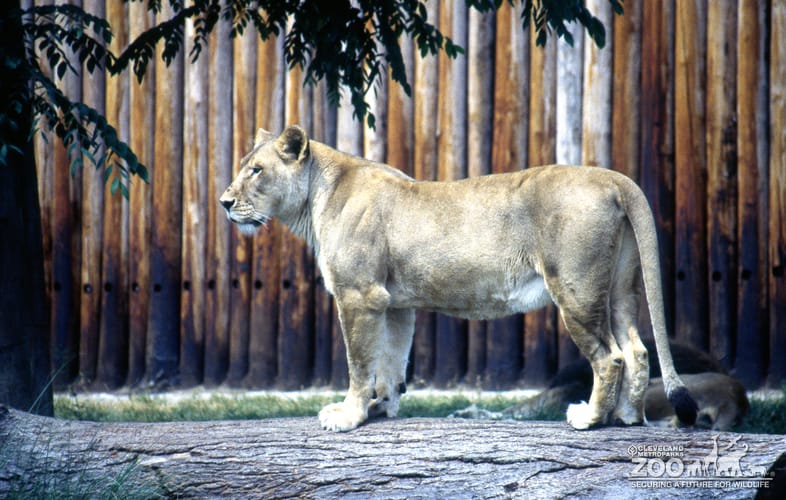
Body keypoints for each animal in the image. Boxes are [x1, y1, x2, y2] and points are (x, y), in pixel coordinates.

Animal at [220, 125, 698, 432]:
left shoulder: (359, 295)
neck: (316, 197)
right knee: (636, 350)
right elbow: (391, 361)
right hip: (618, 288)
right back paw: (627, 418)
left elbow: (359, 363)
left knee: (609, 357)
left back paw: (591, 419)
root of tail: (611, 176)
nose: (224, 202)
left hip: (575, 290)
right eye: (242, 166)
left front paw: (349, 416)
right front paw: (382, 407)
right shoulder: (394, 304)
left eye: (256, 170)